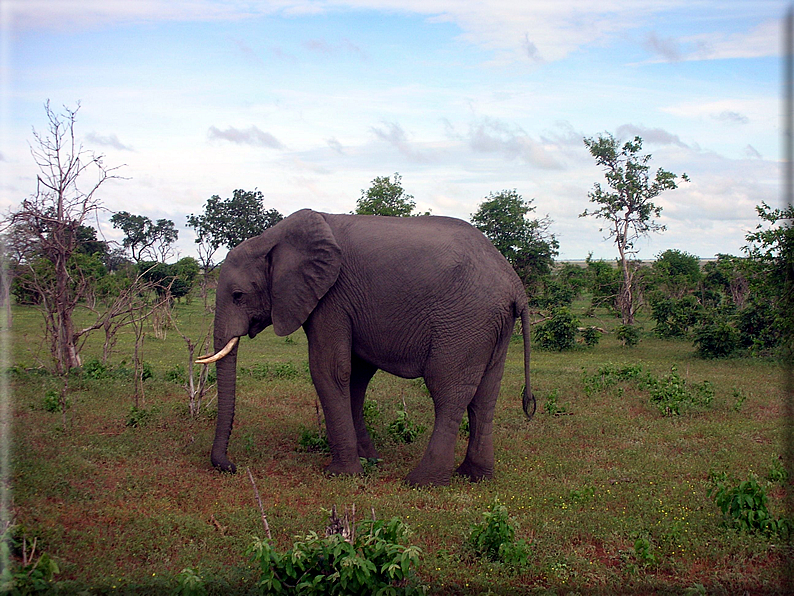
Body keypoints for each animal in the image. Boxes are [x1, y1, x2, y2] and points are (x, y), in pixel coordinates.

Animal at [195, 207, 536, 486]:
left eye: (238, 295)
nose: (231, 467)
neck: (271, 238)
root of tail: (515, 285)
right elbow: (355, 376)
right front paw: (370, 460)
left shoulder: (331, 298)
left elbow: (328, 370)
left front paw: (342, 474)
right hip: (494, 326)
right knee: (485, 395)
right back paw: (474, 477)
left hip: (464, 322)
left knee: (448, 392)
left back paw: (421, 482)